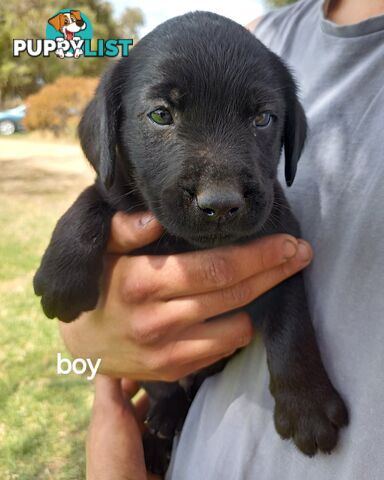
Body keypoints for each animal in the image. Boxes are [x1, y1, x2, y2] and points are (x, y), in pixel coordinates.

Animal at [34, 12, 350, 476]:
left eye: (263, 119)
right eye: (161, 115)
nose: (220, 203)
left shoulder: (285, 248)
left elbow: (293, 329)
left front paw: (307, 405)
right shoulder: (117, 192)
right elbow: (90, 198)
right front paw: (62, 277)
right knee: (164, 388)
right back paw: (159, 429)